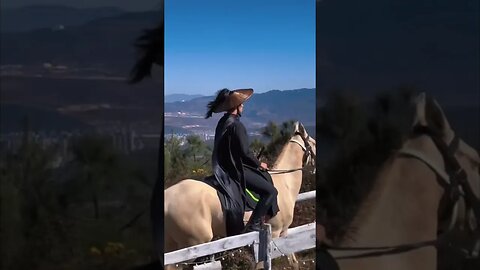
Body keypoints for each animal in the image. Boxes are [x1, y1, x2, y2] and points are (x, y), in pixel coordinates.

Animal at [163, 122, 316, 268]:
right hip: (193, 245)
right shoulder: (274, 233)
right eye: (314, 143)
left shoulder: (283, 233)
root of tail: (167, 199)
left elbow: (293, 262)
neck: (285, 183)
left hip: (174, 243)